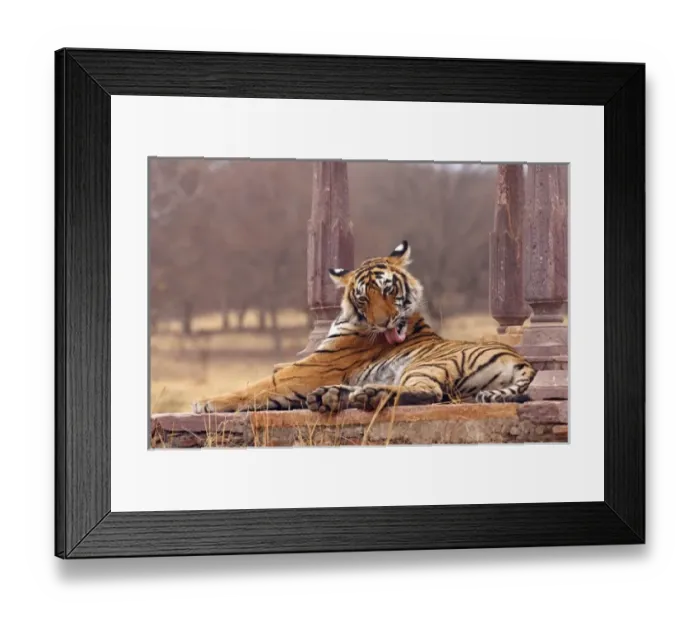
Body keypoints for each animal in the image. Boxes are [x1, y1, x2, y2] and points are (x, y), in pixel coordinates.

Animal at [192, 240, 536, 414]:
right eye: (363, 297)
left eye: (388, 289)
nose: (383, 323)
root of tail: (522, 360)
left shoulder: (310, 369)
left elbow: (259, 384)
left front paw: (205, 402)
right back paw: (332, 396)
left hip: (426, 366)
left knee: (429, 392)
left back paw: (366, 395)